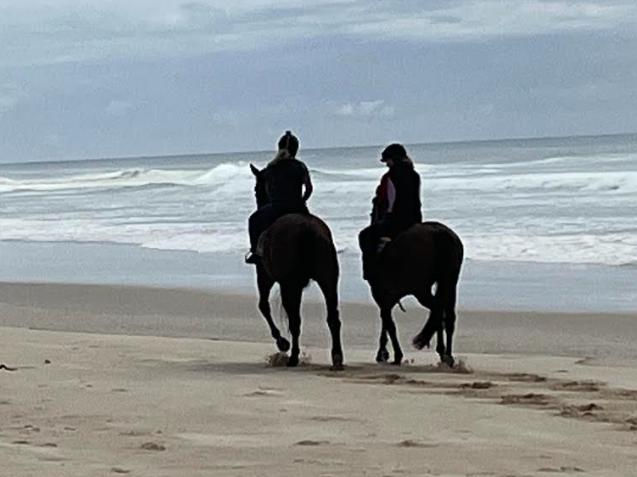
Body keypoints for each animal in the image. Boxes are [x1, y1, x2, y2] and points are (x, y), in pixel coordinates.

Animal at [248, 164, 342, 368]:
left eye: (257, 189)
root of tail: (307, 229)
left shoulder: (265, 276)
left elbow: (263, 306)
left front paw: (282, 342)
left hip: (290, 283)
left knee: (295, 321)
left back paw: (293, 357)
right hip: (328, 279)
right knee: (333, 318)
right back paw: (337, 357)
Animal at [368, 221, 462, 366]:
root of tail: (438, 232)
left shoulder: (383, 297)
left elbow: (389, 324)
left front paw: (392, 355)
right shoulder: (387, 300)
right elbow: (387, 323)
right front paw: (384, 353)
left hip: (421, 291)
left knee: (437, 311)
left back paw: (442, 352)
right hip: (449, 283)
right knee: (447, 317)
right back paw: (448, 355)